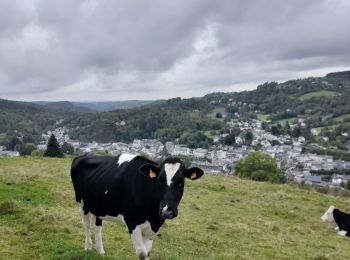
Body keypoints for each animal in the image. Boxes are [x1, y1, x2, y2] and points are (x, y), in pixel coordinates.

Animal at [70, 153, 202, 258]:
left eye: (181, 182)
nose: (167, 212)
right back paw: (88, 246)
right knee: (86, 224)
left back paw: (100, 250)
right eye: (159, 181)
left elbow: (147, 253)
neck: (152, 216)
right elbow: (142, 253)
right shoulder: (132, 222)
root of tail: (84, 154)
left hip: (99, 205)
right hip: (81, 202)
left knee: (97, 226)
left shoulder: (153, 227)